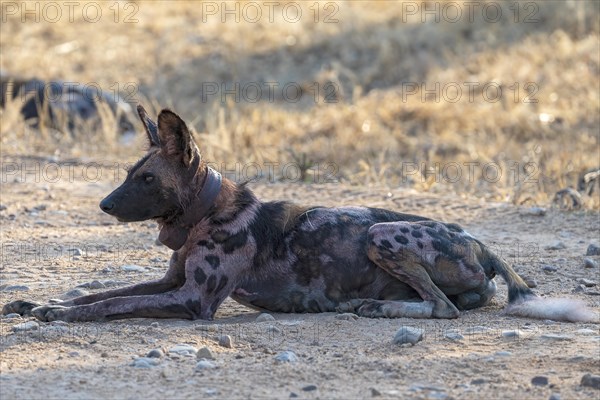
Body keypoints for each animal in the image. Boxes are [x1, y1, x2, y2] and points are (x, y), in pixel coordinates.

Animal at [2, 105, 596, 322]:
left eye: (146, 179)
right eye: (129, 172)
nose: (103, 204)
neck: (206, 213)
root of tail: (477, 240)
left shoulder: (192, 300)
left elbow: (109, 306)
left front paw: (57, 314)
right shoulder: (170, 283)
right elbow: (97, 294)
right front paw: (38, 304)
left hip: (384, 232)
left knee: (444, 309)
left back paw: (378, 309)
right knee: (454, 303)